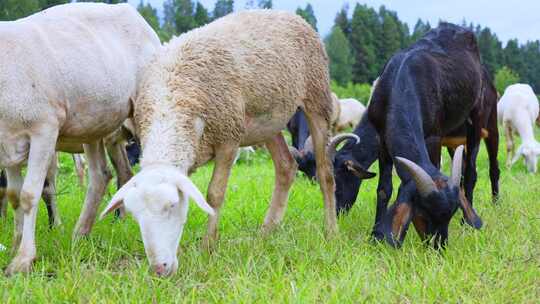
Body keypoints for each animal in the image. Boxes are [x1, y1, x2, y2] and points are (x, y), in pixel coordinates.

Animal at [0, 1, 160, 276]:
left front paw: (23, 259)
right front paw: (14, 246)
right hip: (93, 124)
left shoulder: (44, 129)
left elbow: (29, 195)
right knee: (101, 176)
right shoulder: (7, 144)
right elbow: (13, 196)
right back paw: (80, 234)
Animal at [101, 9, 346, 276]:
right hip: (267, 120)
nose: (159, 268)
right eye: (135, 216)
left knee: (325, 173)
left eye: (173, 205)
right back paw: (266, 232)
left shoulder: (229, 138)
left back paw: (331, 231)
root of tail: (285, 13)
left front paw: (207, 247)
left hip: (316, 96)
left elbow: (214, 194)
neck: (171, 101)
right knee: (286, 166)